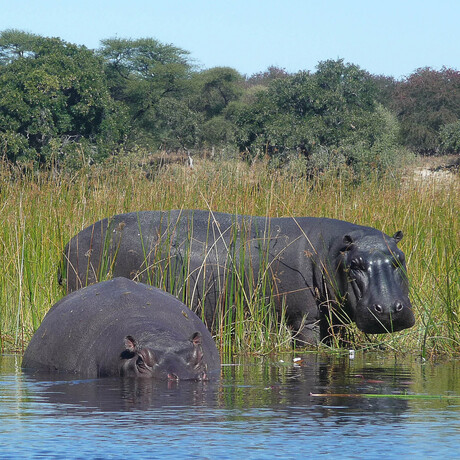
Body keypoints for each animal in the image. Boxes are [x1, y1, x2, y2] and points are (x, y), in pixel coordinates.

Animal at [59, 210, 416, 344]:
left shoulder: (336, 319)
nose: (389, 309)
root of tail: (70, 241)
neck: (331, 251)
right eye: (355, 264)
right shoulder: (305, 320)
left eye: (400, 259)